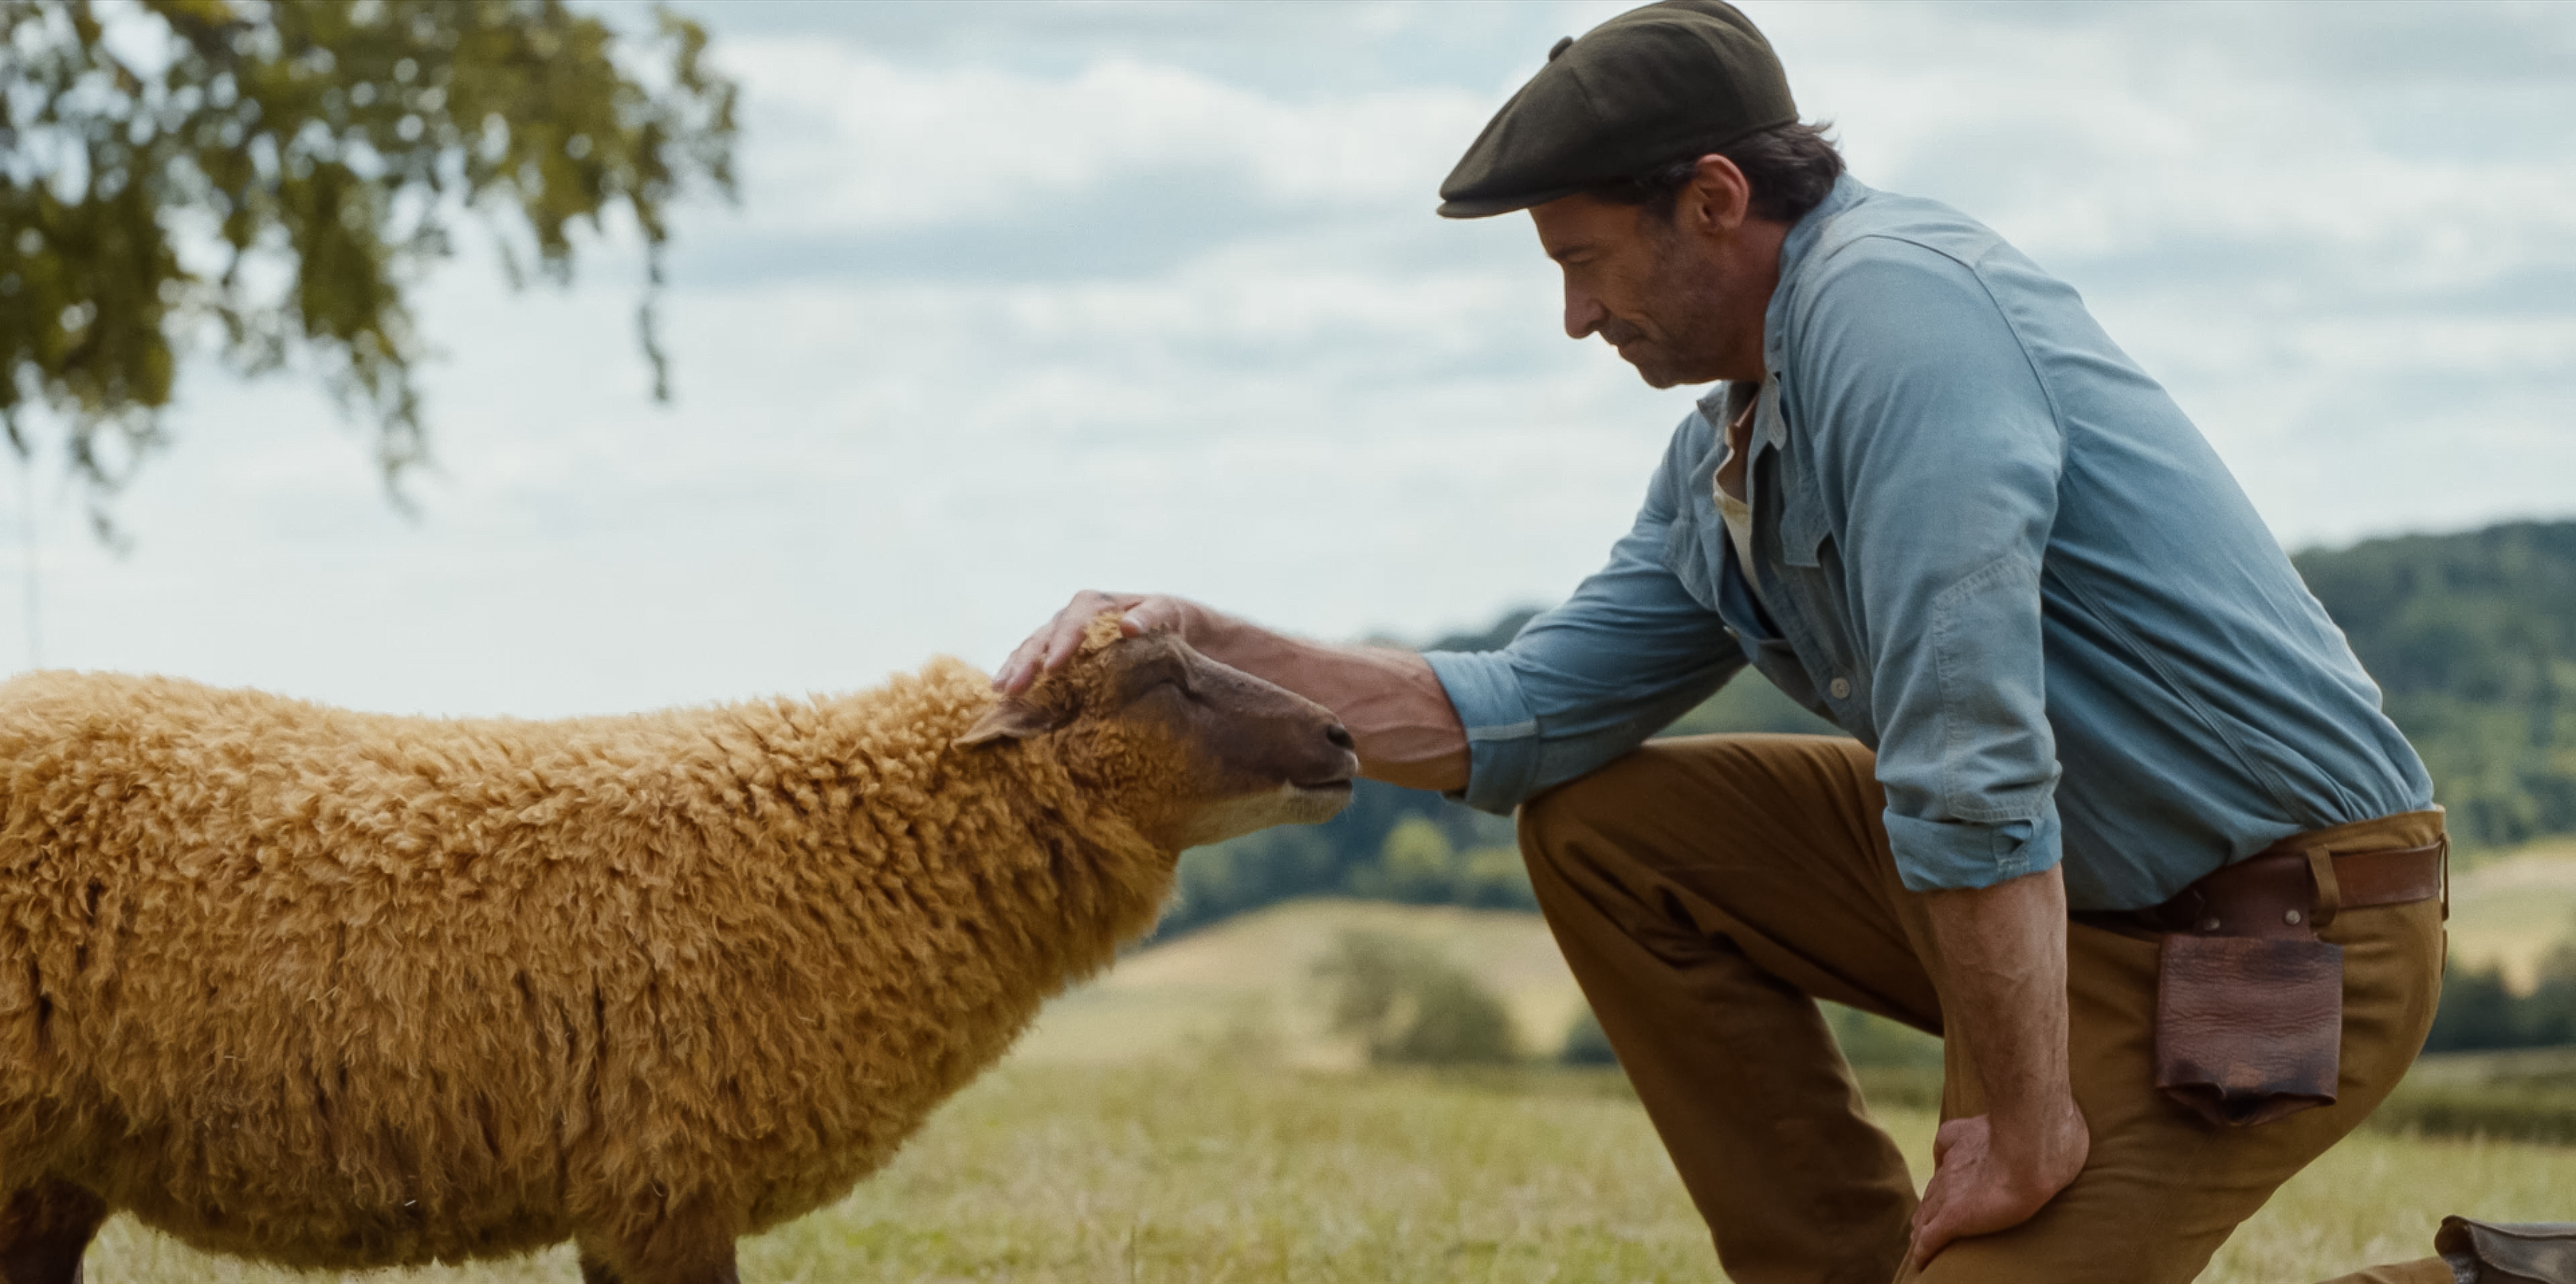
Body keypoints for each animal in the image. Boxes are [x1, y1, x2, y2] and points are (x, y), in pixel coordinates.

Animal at [0, 618, 1357, 1284]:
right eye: (1168, 680)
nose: (1343, 735)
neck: (835, 848)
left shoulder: (629, 1197)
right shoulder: (671, 1175)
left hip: (52, 1164)